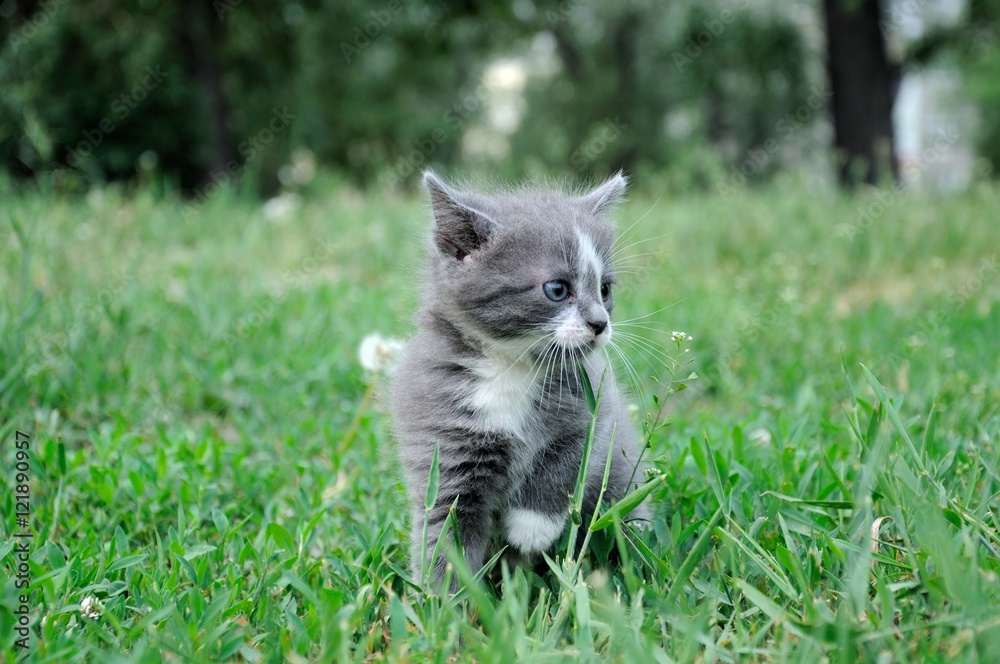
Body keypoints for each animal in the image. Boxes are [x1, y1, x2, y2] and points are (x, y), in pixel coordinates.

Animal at [394, 171, 652, 588]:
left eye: (605, 289)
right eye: (557, 289)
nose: (600, 323)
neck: (511, 366)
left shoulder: (595, 406)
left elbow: (569, 458)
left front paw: (531, 530)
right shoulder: (442, 437)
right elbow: (445, 526)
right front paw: (443, 600)